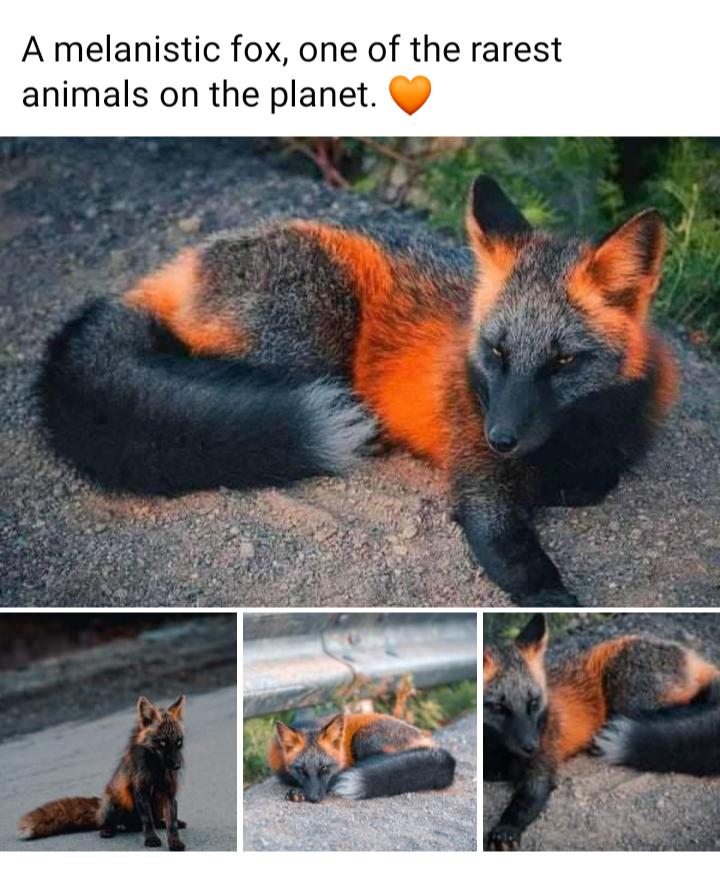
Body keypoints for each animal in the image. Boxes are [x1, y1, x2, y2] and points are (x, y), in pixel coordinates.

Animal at [18, 695, 187, 851]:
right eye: (162, 743)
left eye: (178, 742)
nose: (177, 766)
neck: (157, 770)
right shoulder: (140, 791)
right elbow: (147, 820)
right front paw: (151, 839)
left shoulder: (169, 793)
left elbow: (171, 825)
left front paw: (174, 841)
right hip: (114, 802)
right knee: (105, 824)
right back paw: (108, 830)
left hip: (157, 804)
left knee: (158, 820)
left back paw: (164, 823)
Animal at [39, 175, 678, 605]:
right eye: (496, 352)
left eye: (563, 361)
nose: (500, 437)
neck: (573, 437)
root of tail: (183, 262)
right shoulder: (477, 477)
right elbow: (516, 555)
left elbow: (597, 480)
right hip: (313, 333)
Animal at [483, 615, 720, 850]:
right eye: (498, 707)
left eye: (533, 703)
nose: (532, 745)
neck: (498, 755)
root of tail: (689, 655)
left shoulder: (542, 764)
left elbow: (524, 802)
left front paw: (506, 828)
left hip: (630, 696)